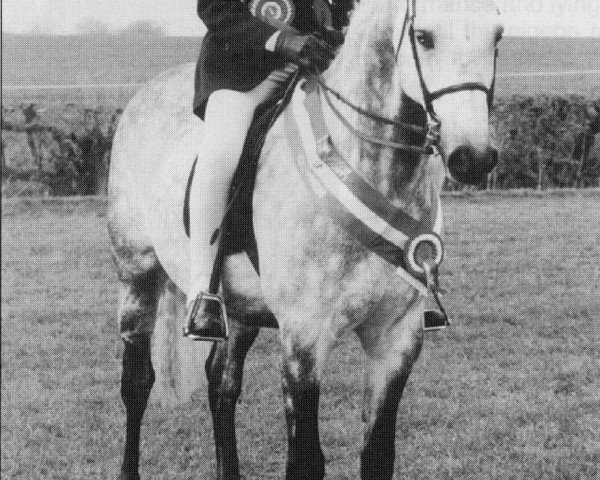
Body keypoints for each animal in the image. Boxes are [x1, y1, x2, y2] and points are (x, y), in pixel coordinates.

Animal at [108, 0, 502, 478]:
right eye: (424, 37)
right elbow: (306, 460)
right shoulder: (304, 337)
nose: (472, 158)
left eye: (497, 36)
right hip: (137, 277)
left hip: (239, 307)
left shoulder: (397, 338)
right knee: (136, 384)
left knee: (221, 383)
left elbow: (378, 454)